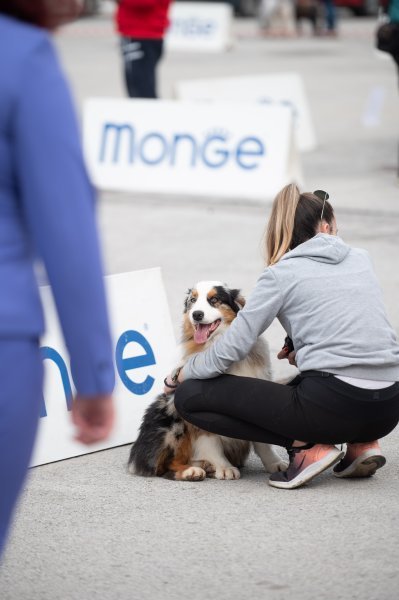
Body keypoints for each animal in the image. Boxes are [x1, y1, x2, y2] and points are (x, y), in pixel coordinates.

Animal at [130, 282, 290, 482]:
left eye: (214, 300)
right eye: (192, 300)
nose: (196, 314)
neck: (216, 344)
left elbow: (263, 444)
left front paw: (274, 463)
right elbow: (211, 440)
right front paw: (224, 467)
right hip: (169, 420)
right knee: (164, 467)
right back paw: (192, 470)